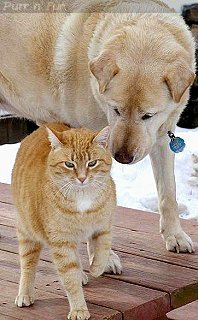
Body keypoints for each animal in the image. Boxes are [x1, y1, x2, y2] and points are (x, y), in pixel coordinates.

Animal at [0, 0, 195, 255]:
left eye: (148, 115)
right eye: (116, 109)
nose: (122, 157)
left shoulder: (161, 140)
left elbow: (168, 194)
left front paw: (175, 235)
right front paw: (103, 257)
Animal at [12, 122, 122, 320]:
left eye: (92, 163)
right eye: (69, 164)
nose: (82, 178)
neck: (83, 197)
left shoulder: (104, 227)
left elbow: (102, 251)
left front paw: (96, 269)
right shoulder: (62, 243)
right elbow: (70, 278)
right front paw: (79, 309)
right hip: (27, 234)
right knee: (28, 265)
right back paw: (25, 294)